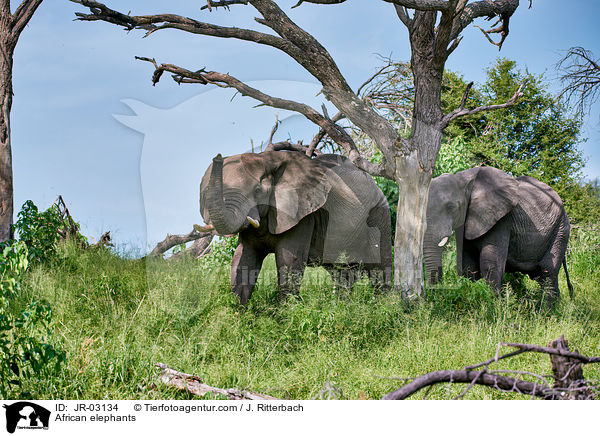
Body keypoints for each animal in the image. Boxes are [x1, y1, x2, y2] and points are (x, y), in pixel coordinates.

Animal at [199, 152, 394, 304]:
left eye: (257, 190)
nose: (218, 157)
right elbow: (243, 259)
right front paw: (237, 319)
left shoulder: (304, 216)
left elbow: (289, 261)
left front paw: (284, 319)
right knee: (342, 275)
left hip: (379, 216)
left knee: (379, 270)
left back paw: (384, 310)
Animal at [424, 165, 576, 308]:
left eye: (451, 207)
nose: (433, 300)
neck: (464, 178)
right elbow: (468, 266)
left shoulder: (502, 219)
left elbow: (490, 265)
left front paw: (492, 308)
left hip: (561, 229)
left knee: (548, 270)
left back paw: (544, 313)